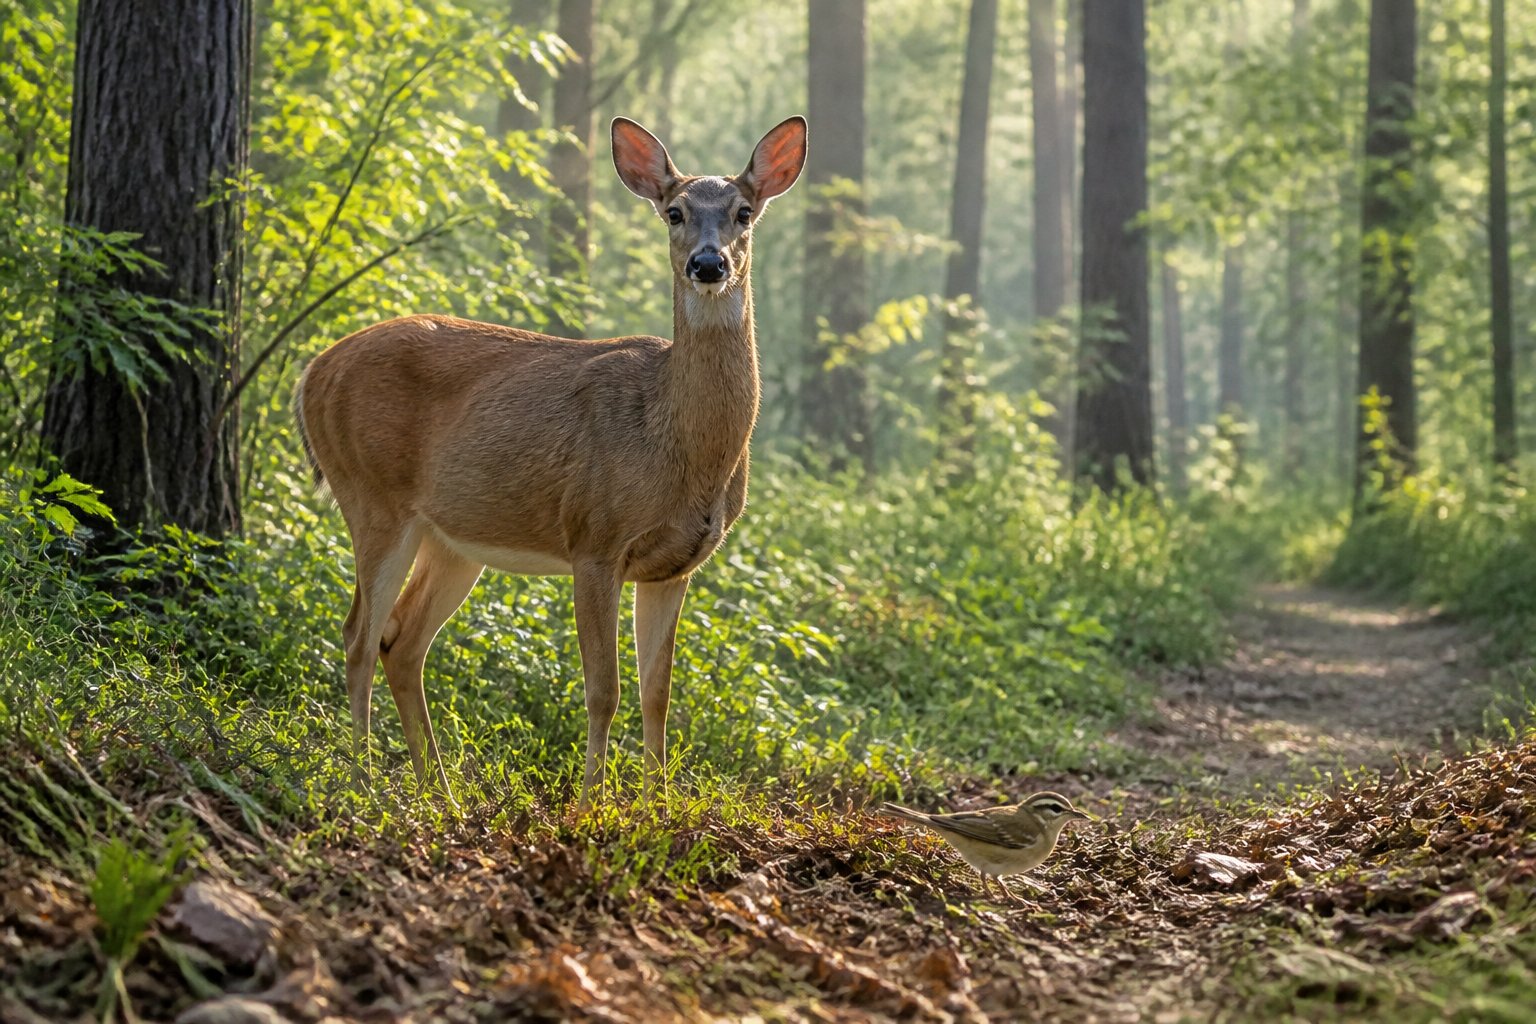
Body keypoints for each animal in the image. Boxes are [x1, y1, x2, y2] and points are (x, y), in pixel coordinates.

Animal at [294, 115, 807, 807]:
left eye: (743, 212)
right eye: (674, 211)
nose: (708, 263)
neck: (675, 446)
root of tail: (311, 373)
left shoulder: (675, 566)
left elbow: (658, 694)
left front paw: (657, 806)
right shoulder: (594, 537)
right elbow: (603, 691)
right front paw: (590, 804)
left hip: (453, 538)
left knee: (400, 640)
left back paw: (441, 793)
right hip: (371, 494)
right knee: (356, 635)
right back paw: (365, 784)